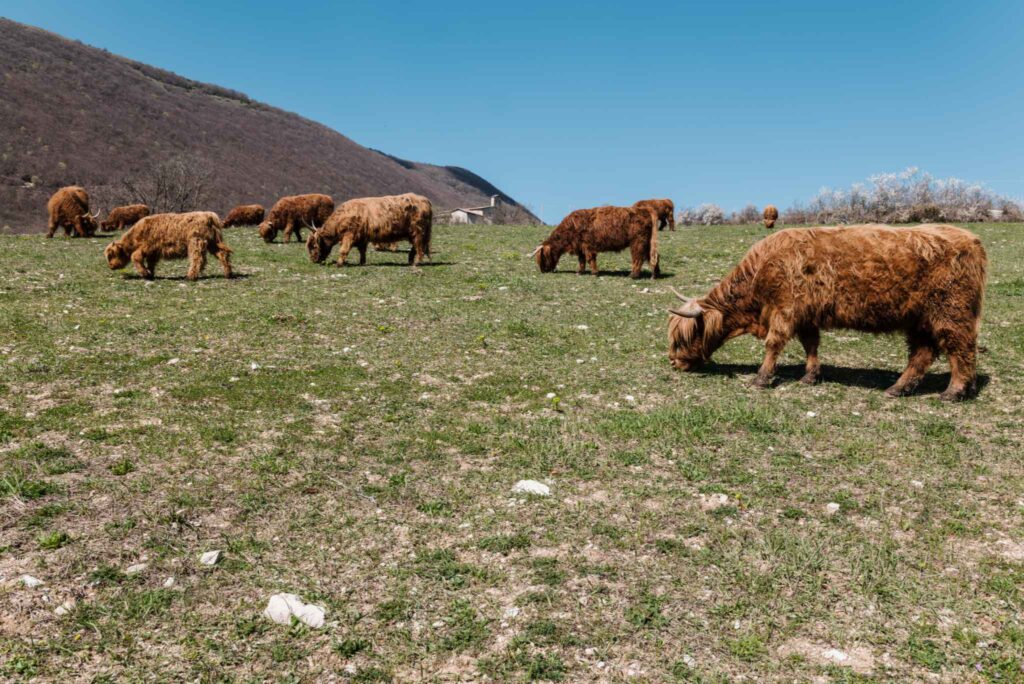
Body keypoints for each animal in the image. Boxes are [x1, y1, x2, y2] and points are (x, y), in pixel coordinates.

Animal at [104, 211, 233, 281]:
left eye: (111, 255)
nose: (110, 266)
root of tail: (209, 215)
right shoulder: (153, 252)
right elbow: (151, 262)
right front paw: (150, 273)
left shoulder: (147, 247)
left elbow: (135, 257)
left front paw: (145, 273)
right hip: (213, 243)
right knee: (222, 254)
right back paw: (228, 274)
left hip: (195, 242)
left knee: (197, 259)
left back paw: (191, 276)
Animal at [667, 224, 987, 401]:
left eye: (683, 339)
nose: (674, 363)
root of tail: (972, 240)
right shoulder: (806, 316)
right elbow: (811, 345)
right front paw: (810, 376)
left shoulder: (785, 310)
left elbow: (774, 344)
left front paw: (761, 378)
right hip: (919, 320)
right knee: (923, 353)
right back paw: (899, 388)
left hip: (950, 313)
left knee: (960, 349)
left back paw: (954, 391)